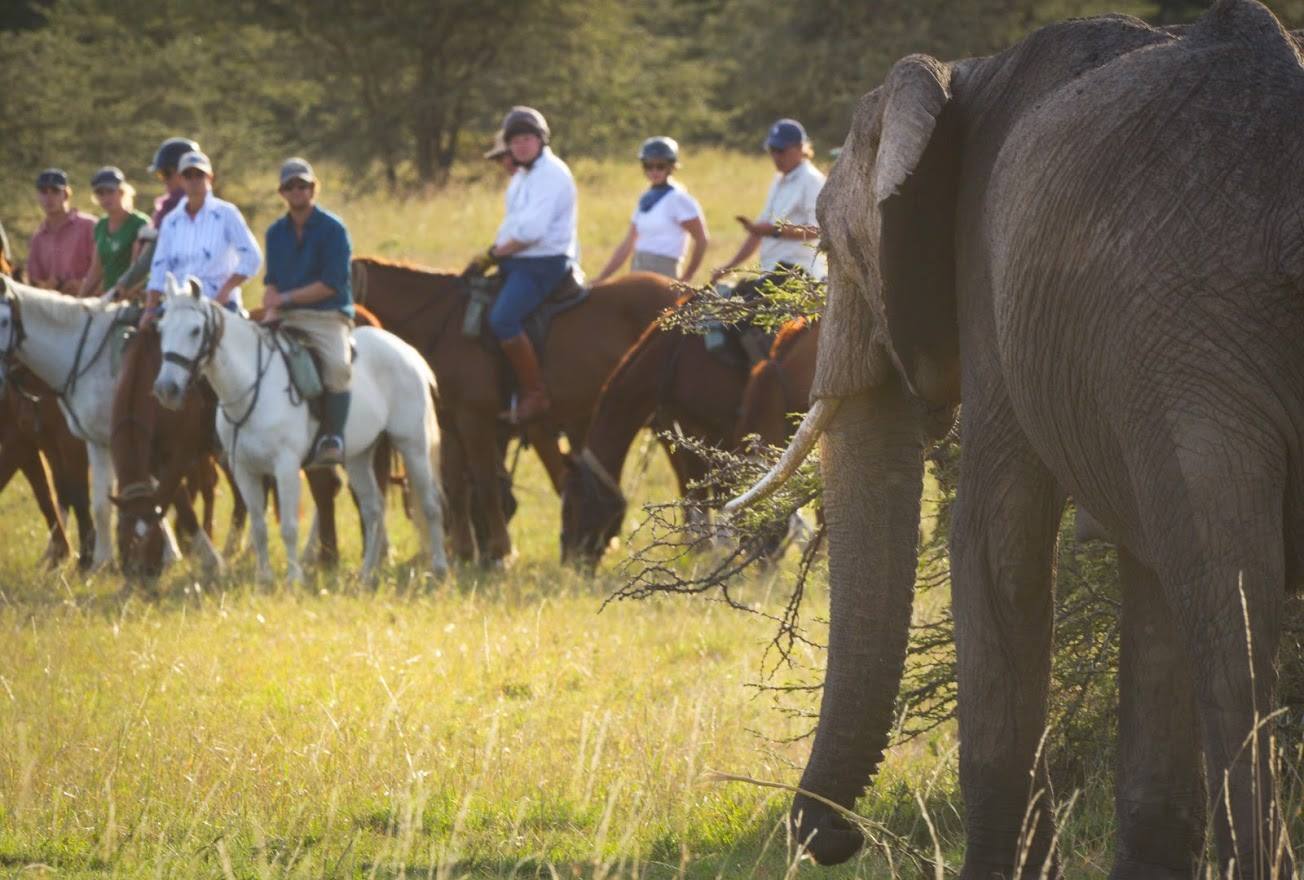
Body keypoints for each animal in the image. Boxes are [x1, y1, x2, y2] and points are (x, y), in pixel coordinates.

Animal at [0, 279, 132, 569]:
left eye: (3, 320)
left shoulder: (61, 442)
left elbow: (75, 492)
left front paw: (85, 556)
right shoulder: (46, 442)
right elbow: (62, 494)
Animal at [152, 274, 447, 583]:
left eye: (195, 331)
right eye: (161, 329)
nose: (166, 389)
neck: (251, 386)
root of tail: (408, 352)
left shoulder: (285, 465)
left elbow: (289, 527)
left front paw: (294, 579)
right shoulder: (244, 469)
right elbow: (259, 526)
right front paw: (265, 580)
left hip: (413, 444)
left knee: (430, 503)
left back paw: (439, 569)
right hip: (359, 455)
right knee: (373, 509)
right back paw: (366, 574)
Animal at [351, 258, 680, 565]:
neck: (442, 325)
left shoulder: (476, 423)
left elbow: (485, 485)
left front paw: (501, 551)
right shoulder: (452, 426)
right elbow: (457, 489)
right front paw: (464, 553)